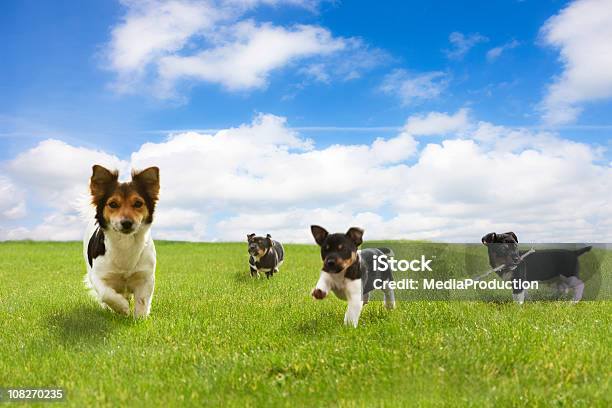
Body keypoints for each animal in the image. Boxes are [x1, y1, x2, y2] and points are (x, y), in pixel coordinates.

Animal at [83, 164, 160, 318]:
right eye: (113, 204)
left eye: (138, 203)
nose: (126, 223)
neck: (125, 243)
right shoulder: (98, 276)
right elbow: (106, 294)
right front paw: (122, 308)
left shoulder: (145, 276)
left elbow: (142, 300)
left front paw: (140, 318)